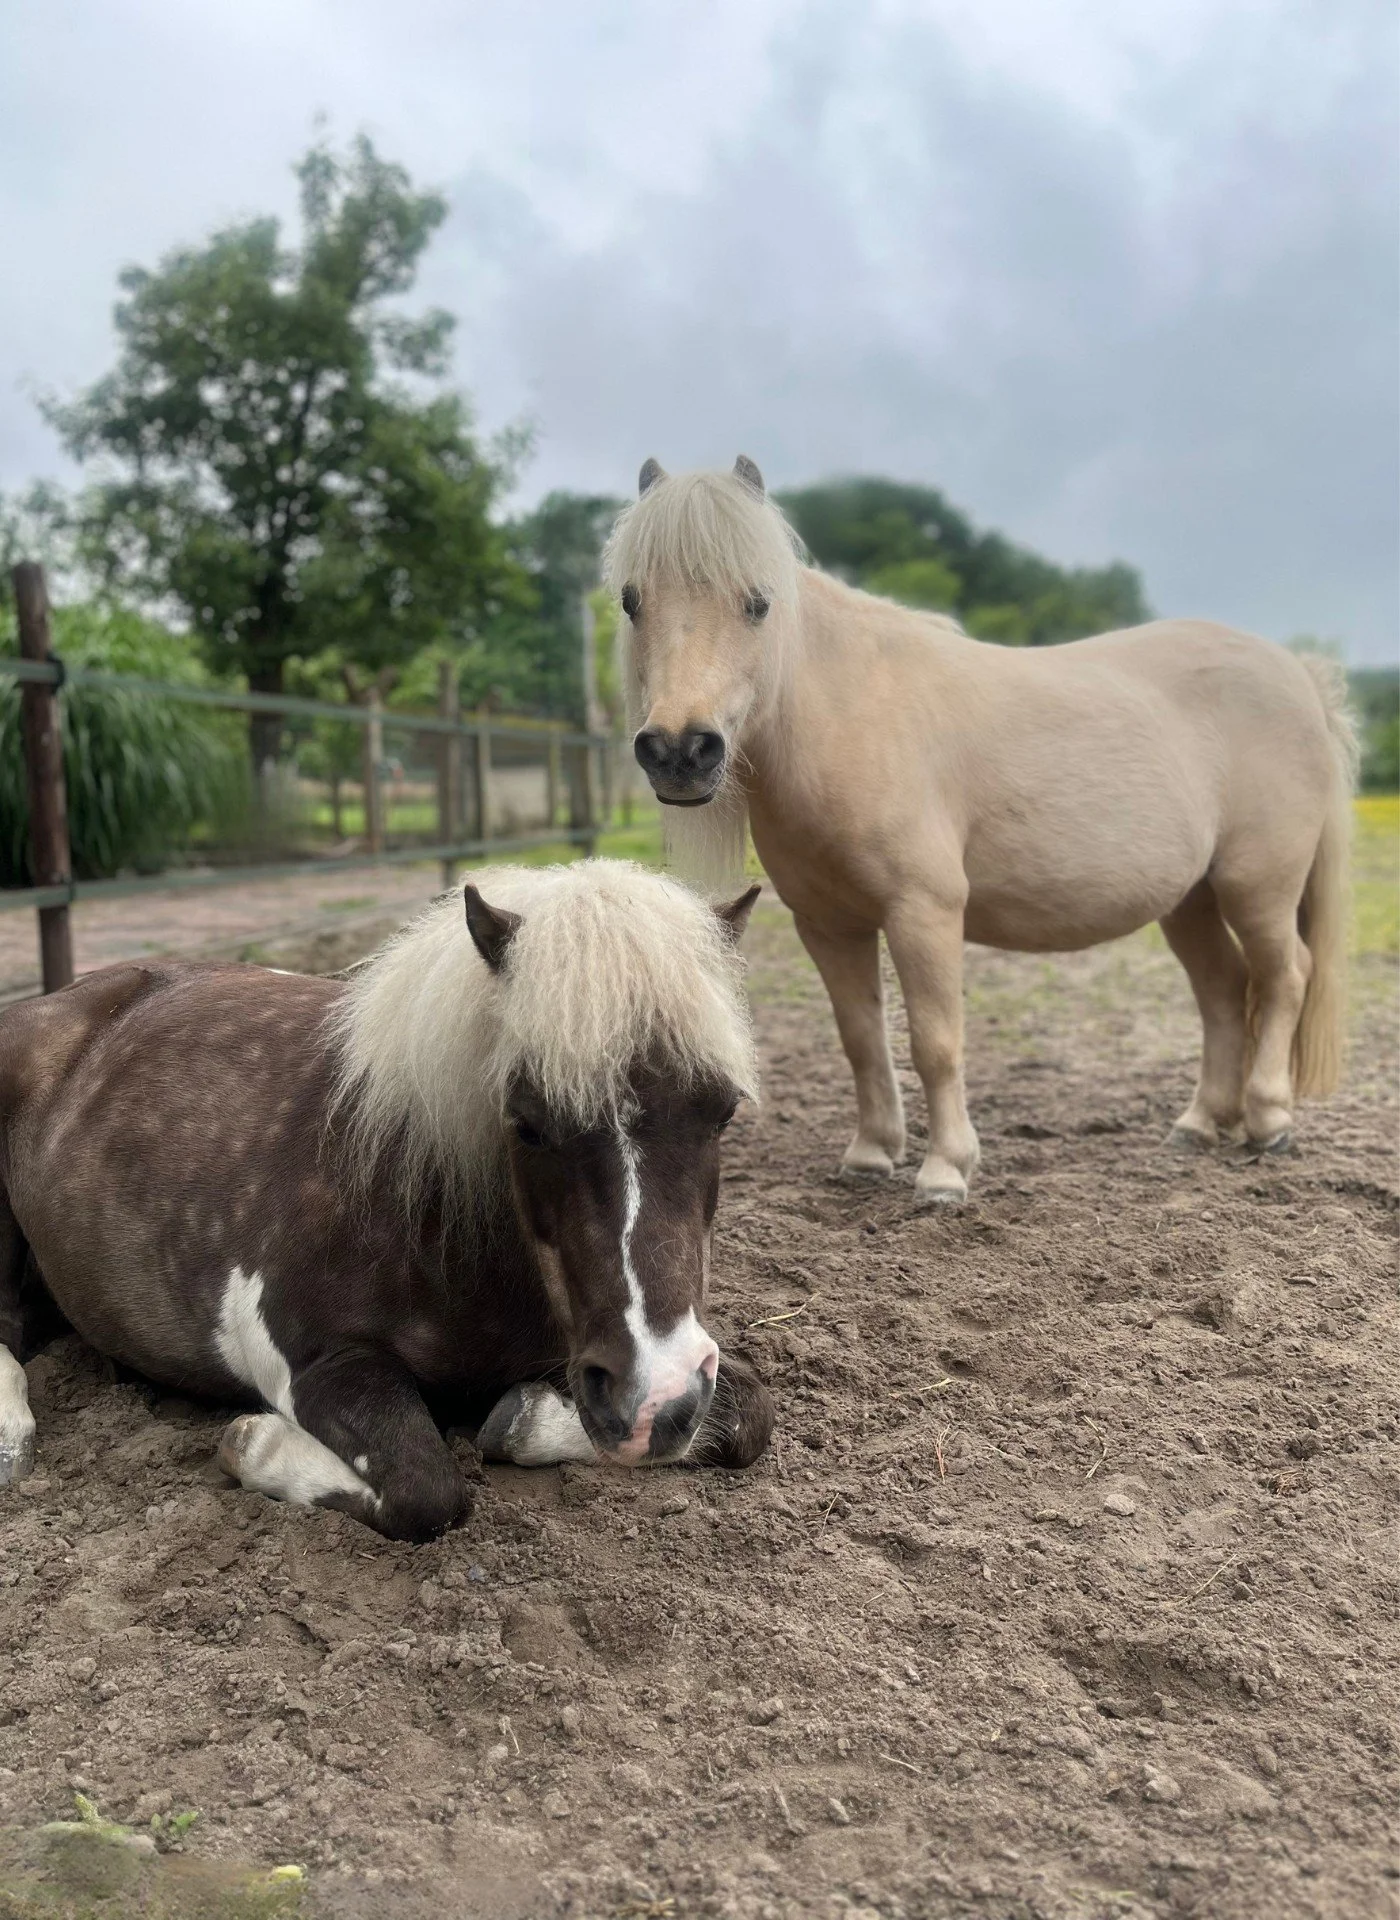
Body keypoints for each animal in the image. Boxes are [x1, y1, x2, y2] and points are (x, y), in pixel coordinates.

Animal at [0, 860, 773, 1536]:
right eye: (527, 1122)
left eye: (724, 1111)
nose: (654, 1403)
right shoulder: (317, 1359)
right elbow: (425, 1490)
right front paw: (254, 1445)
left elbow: (749, 1419)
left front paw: (523, 1415)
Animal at [606, 456, 1358, 1205]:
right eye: (631, 600)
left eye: (758, 602)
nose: (679, 751)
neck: (853, 716)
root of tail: (1298, 676)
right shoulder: (828, 925)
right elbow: (861, 1039)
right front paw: (871, 1155)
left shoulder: (925, 913)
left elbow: (936, 1043)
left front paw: (946, 1171)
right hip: (1190, 902)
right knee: (1225, 990)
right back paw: (1200, 1124)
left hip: (1256, 887)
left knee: (1285, 976)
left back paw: (1268, 1122)